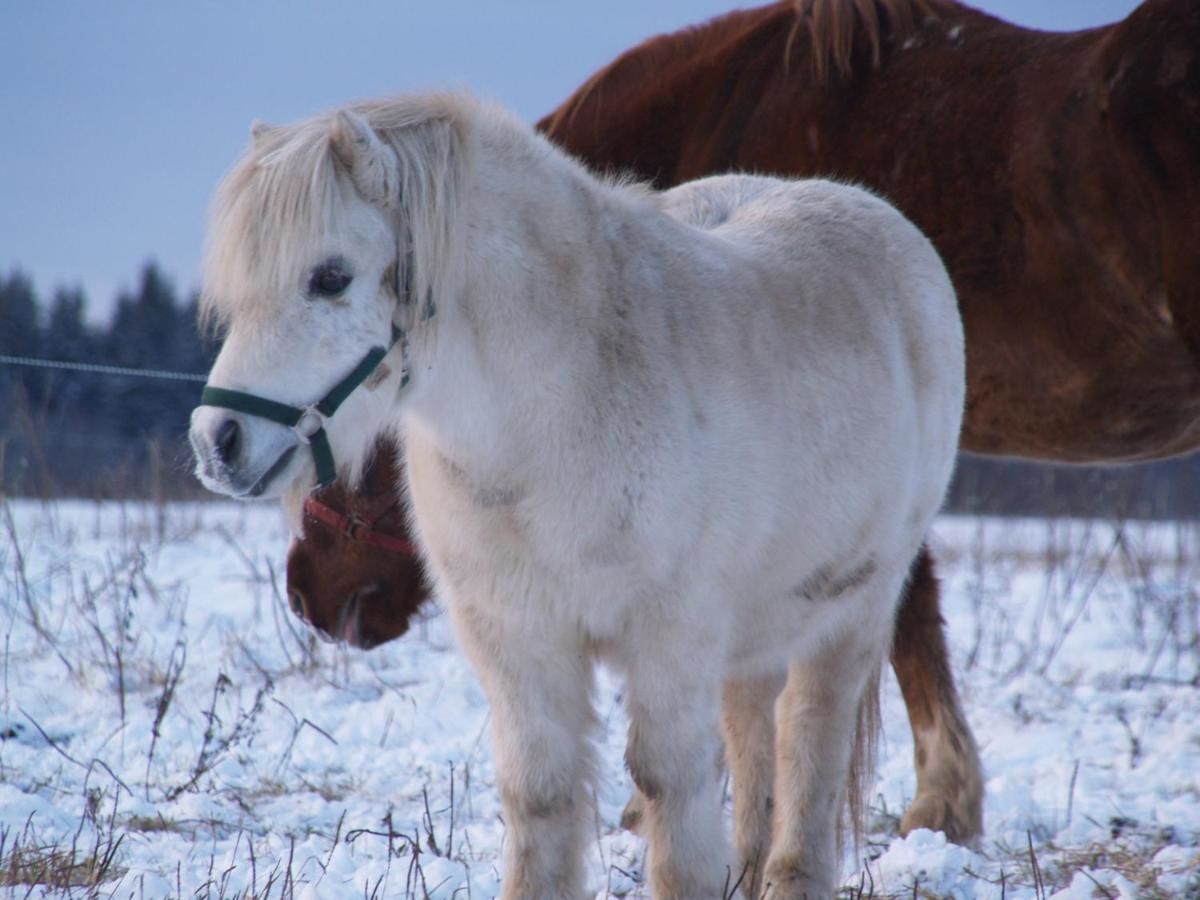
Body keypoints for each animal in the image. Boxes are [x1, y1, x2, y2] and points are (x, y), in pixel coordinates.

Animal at [189, 93, 964, 900]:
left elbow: (668, 788)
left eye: (331, 276)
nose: (217, 442)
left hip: (854, 609)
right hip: (757, 628)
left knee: (810, 741)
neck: (558, 410)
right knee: (754, 738)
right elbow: (541, 793)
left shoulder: (671, 636)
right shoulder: (517, 640)